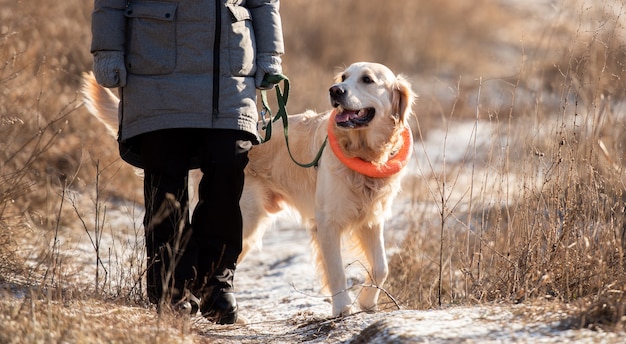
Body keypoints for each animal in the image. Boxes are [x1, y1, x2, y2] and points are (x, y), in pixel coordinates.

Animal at [83, 62, 414, 318]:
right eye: (344, 77)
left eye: (367, 79)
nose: (335, 91)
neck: (364, 154)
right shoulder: (327, 222)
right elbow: (336, 270)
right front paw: (343, 307)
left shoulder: (371, 219)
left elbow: (382, 267)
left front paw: (367, 302)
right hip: (244, 216)